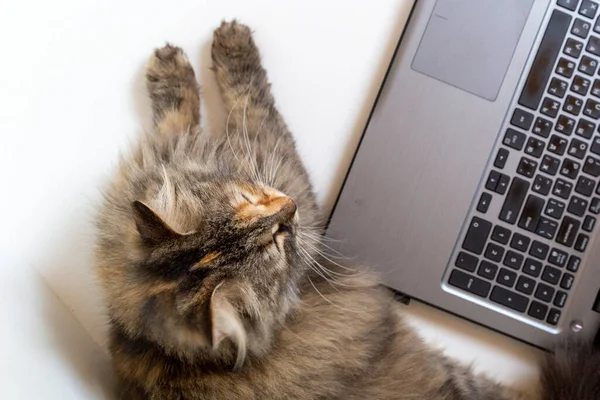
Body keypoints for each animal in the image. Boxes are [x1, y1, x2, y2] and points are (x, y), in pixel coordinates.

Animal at [96, 19, 600, 400]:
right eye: (276, 244)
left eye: (249, 201)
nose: (287, 208)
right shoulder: (296, 185)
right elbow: (251, 100)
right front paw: (233, 45)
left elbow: (180, 114)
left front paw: (171, 66)